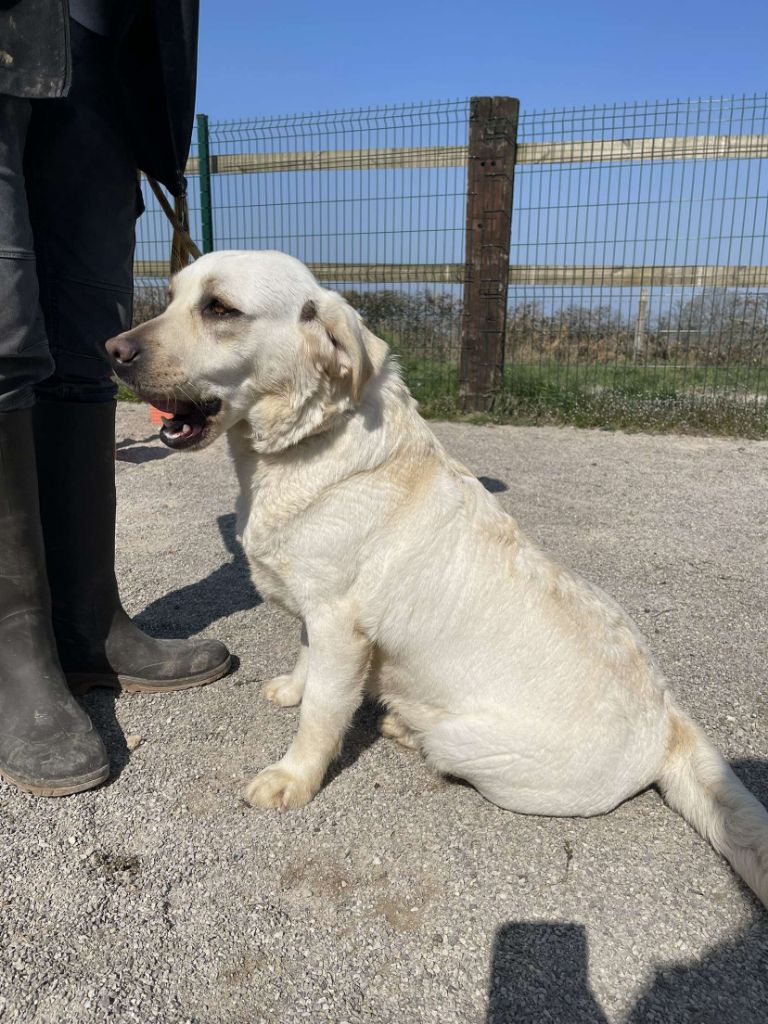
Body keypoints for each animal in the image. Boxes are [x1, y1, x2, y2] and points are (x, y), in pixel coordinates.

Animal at [108, 251, 768, 909]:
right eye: (172, 297)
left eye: (219, 308)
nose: (112, 349)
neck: (307, 445)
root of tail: (670, 722)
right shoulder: (316, 610)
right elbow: (304, 661)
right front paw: (292, 688)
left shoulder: (340, 626)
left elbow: (322, 713)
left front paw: (294, 777)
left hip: (467, 743)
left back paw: (403, 726)